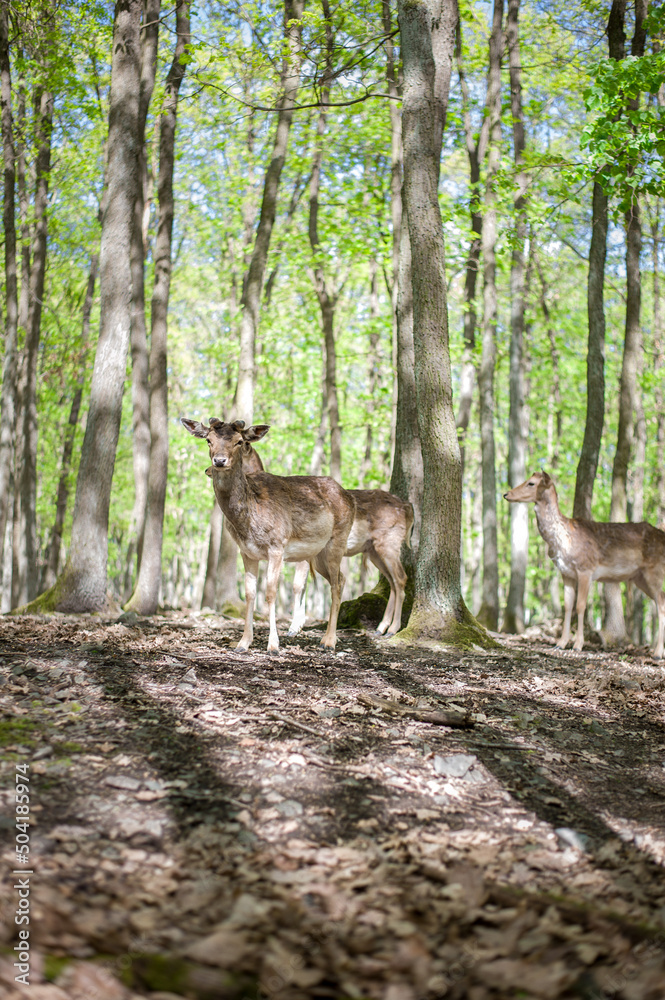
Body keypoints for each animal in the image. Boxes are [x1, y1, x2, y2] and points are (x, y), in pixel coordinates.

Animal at [182, 418, 352, 652]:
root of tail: (349, 496)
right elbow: (250, 593)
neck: (248, 519)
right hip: (317, 555)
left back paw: (328, 640)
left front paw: (273, 644)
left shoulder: (277, 545)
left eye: (239, 441)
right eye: (208, 440)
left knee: (335, 585)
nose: (218, 461)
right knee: (341, 579)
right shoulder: (247, 552)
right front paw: (243, 642)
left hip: (338, 539)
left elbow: (271, 593)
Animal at [504, 472, 664, 660]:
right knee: (660, 601)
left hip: (654, 571)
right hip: (639, 578)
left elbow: (580, 606)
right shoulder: (566, 573)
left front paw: (578, 645)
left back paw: (657, 653)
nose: (506, 494)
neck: (562, 541)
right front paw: (560, 643)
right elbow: (567, 606)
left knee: (661, 603)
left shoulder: (585, 568)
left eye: (531, 483)